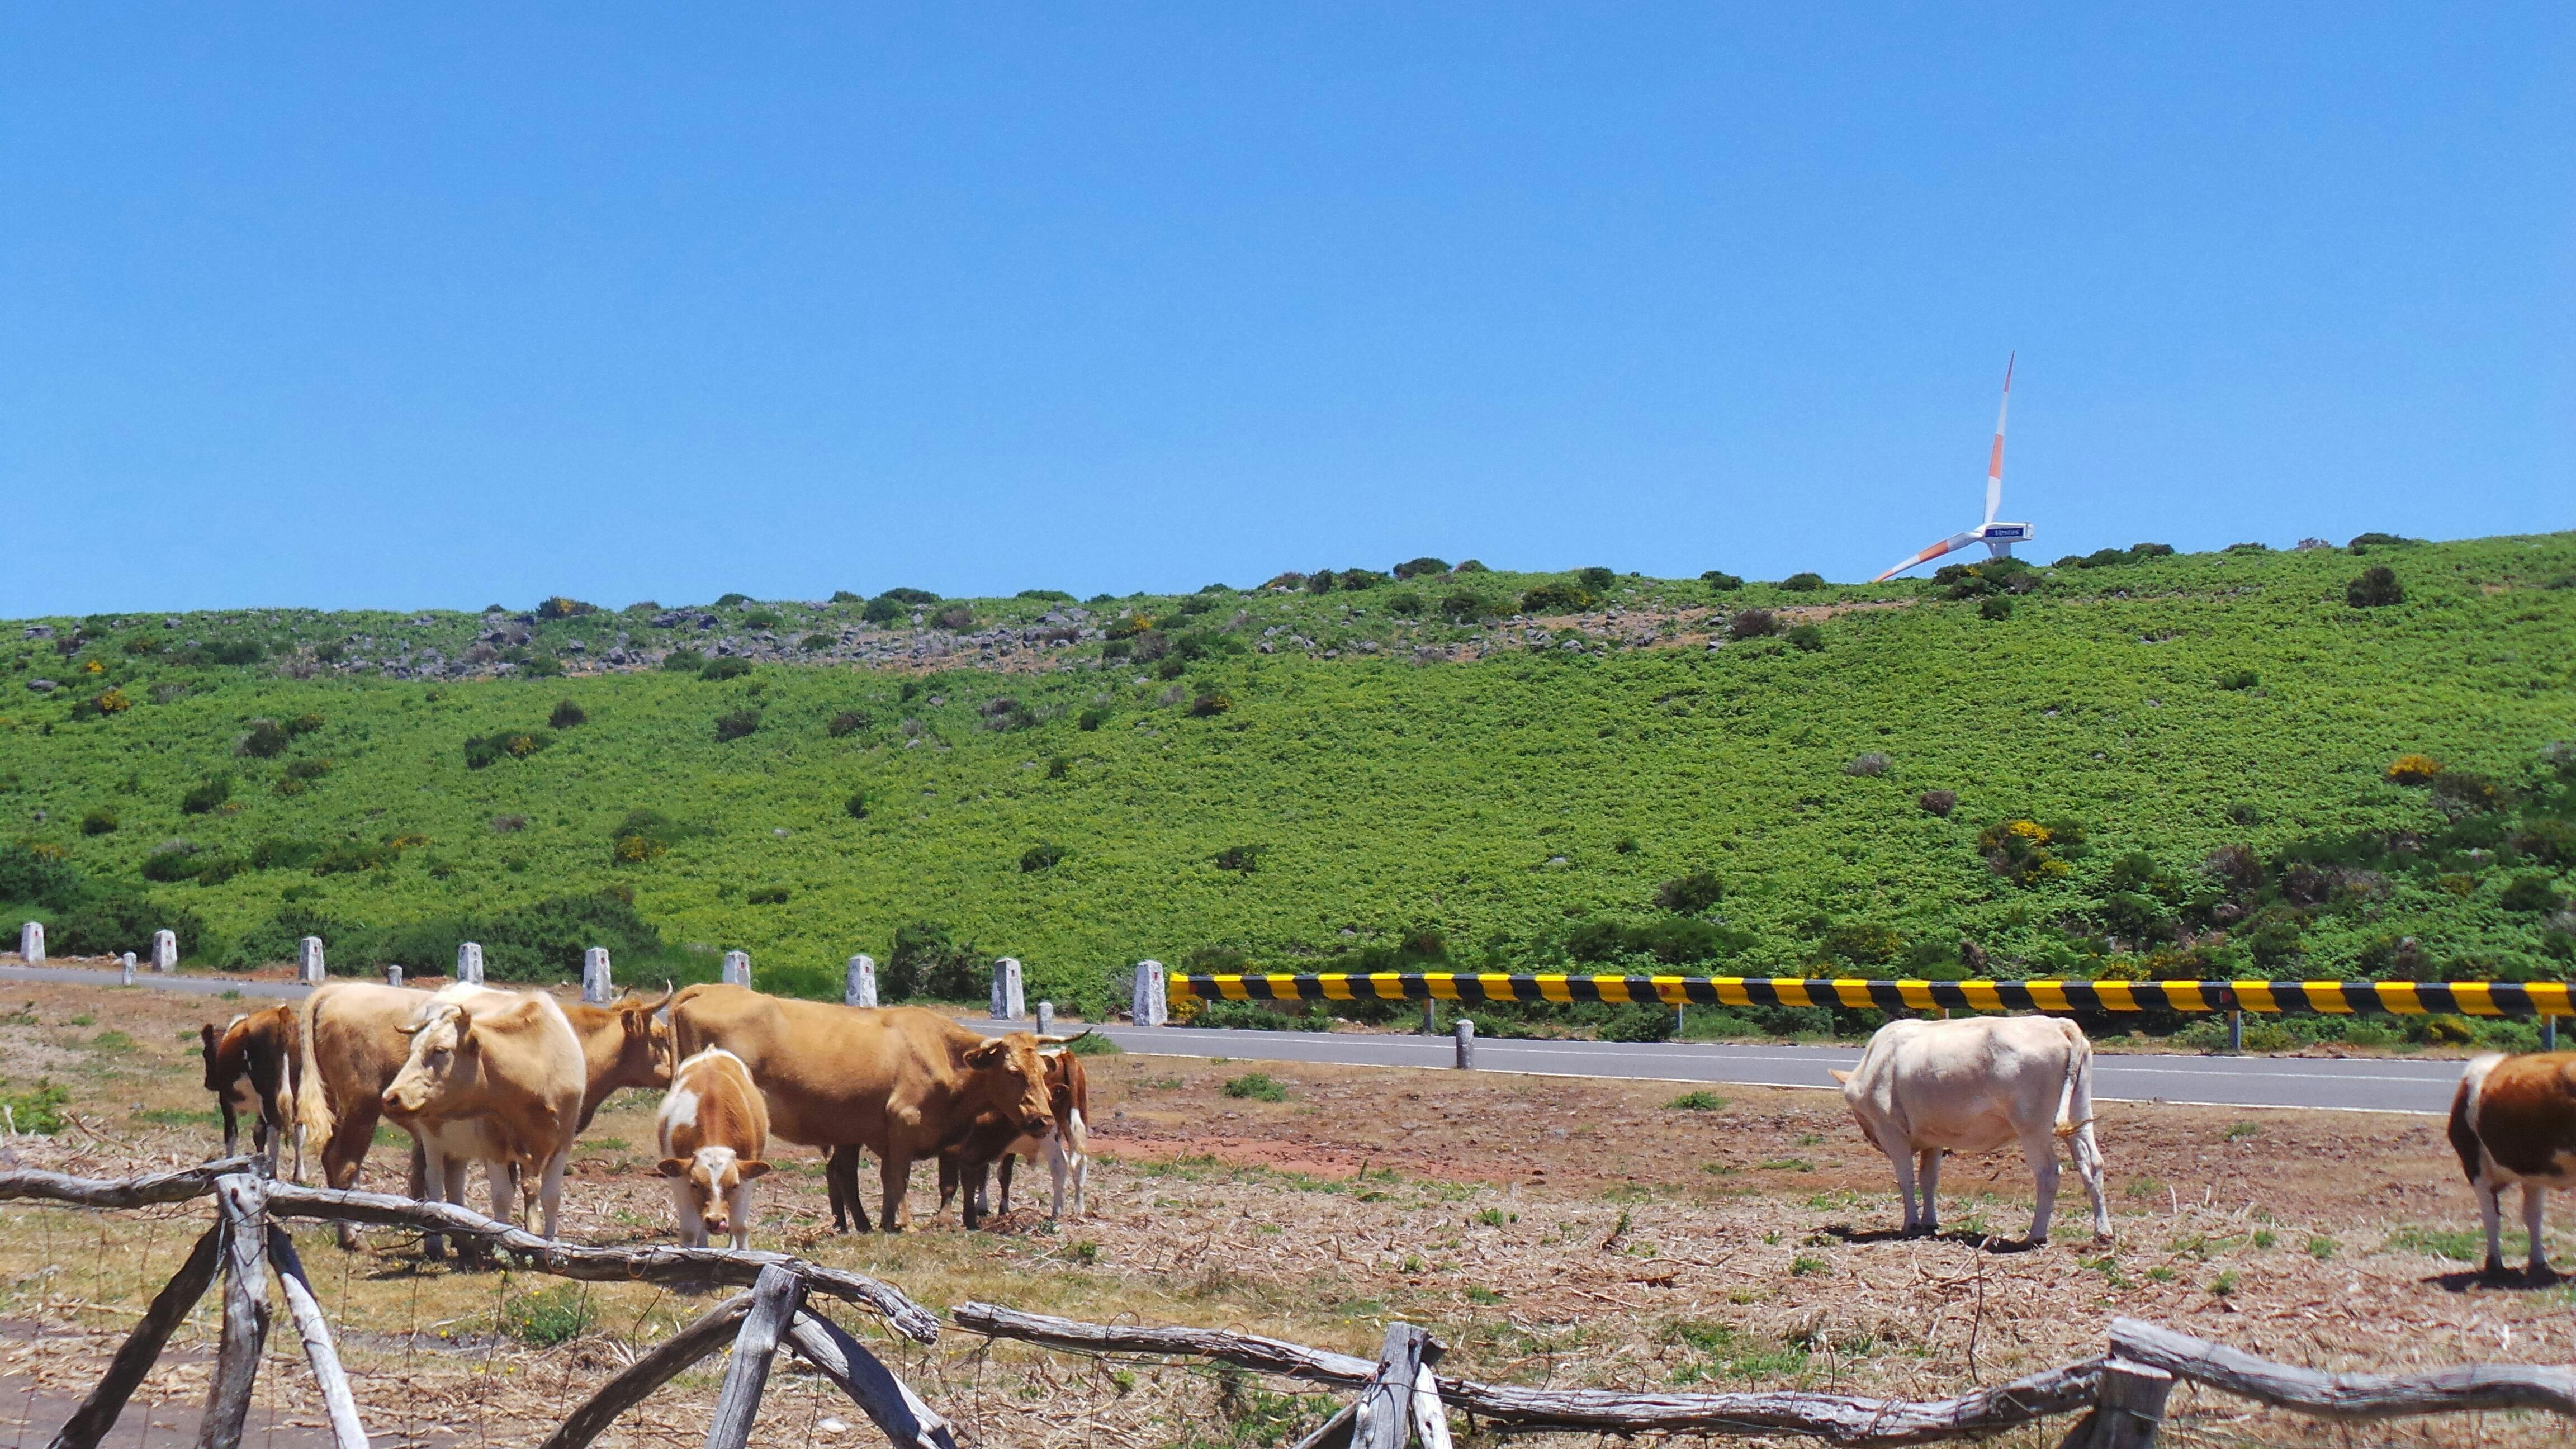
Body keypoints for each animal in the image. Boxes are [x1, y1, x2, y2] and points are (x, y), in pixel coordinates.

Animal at [381, 974, 585, 1237]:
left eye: (440, 1050)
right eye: (412, 1049)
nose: (391, 1097)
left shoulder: (564, 1141)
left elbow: (551, 1198)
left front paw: (549, 1243)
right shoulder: (493, 1145)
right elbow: (502, 1197)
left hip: (459, 1147)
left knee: (455, 1185)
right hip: (432, 1135)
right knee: (434, 1182)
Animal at [649, 1041, 768, 1248]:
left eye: (734, 1185)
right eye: (695, 1185)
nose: (716, 1220)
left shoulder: (747, 1177)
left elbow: (740, 1227)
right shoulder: (678, 1179)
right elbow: (690, 1231)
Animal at [675, 979, 1066, 1227]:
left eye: (1042, 1069)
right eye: (1013, 1071)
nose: (1044, 1120)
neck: (942, 1052)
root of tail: (707, 988)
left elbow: (913, 1180)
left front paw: (887, 1222)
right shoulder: (903, 1120)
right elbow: (899, 1176)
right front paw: (904, 1224)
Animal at [1824, 1010, 2102, 1237]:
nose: (1871, 1139)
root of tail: (2059, 1024)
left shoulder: (1891, 1130)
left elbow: (1906, 1179)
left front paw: (1911, 1224)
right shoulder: (1933, 1137)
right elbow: (1928, 1179)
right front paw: (1929, 1223)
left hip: (2032, 1127)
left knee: (2049, 1173)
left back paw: (2035, 1235)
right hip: (2079, 1112)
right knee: (2092, 1164)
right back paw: (2103, 1232)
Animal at [2431, 1046, 2576, 1273]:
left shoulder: (2475, 1166)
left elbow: (2492, 1217)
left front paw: (2494, 1264)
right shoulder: (2532, 1171)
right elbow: (2531, 1216)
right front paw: (2538, 1263)